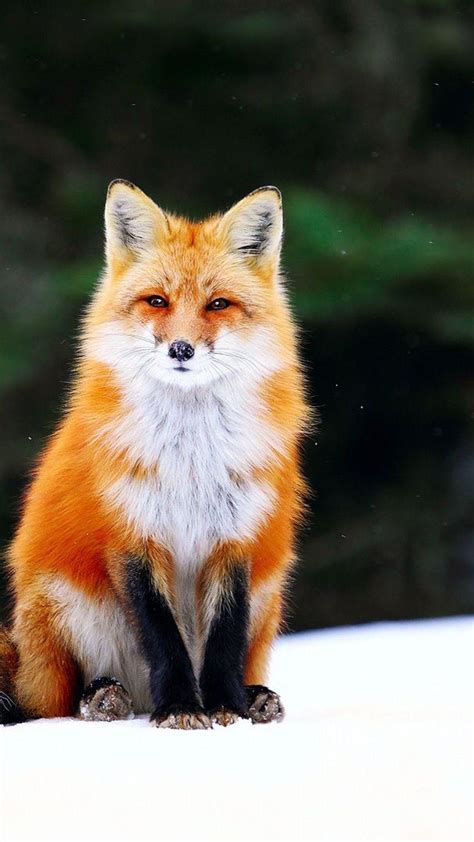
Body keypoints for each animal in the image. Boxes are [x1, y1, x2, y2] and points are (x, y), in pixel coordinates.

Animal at [0, 181, 308, 728]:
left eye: (218, 304)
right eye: (157, 301)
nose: (181, 349)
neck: (190, 461)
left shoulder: (235, 540)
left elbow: (224, 639)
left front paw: (226, 706)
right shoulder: (133, 537)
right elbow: (163, 638)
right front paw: (182, 708)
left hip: (268, 595)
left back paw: (256, 697)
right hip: (65, 607)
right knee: (51, 704)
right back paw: (103, 698)